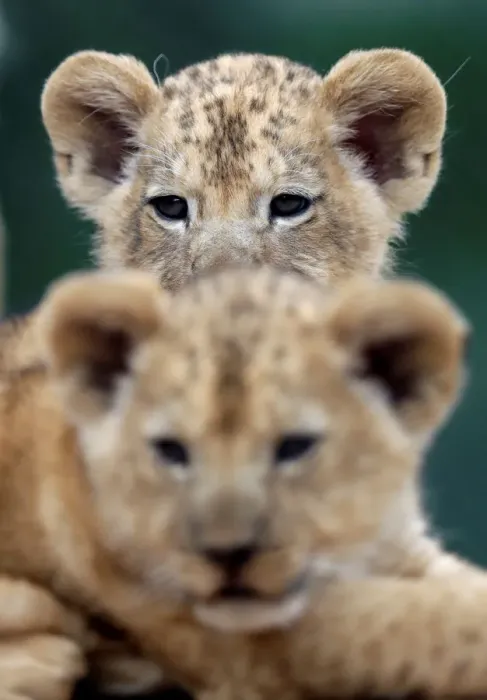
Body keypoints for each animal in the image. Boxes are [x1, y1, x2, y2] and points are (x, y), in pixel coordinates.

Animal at [3, 266, 487, 699]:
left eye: (295, 446)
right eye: (171, 450)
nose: (227, 554)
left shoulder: (406, 550)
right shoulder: (248, 651)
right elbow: (418, 624)